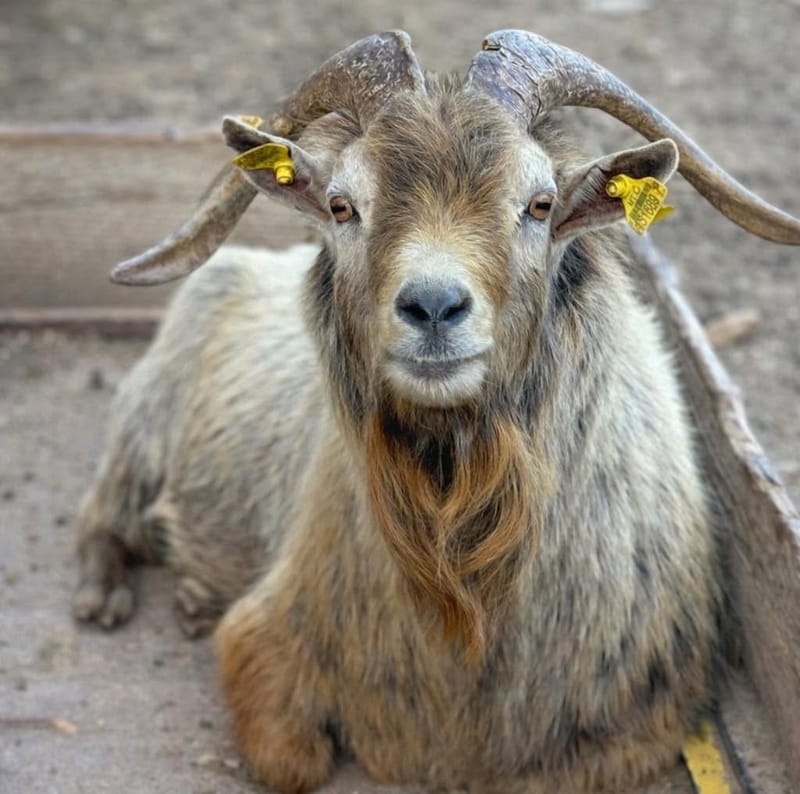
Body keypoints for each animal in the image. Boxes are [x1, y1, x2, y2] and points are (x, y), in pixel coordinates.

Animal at [73, 30, 800, 794]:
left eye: (540, 204)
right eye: (342, 206)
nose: (432, 306)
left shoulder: (639, 722)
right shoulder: (265, 643)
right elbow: (290, 761)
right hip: (143, 416)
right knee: (103, 510)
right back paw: (106, 596)